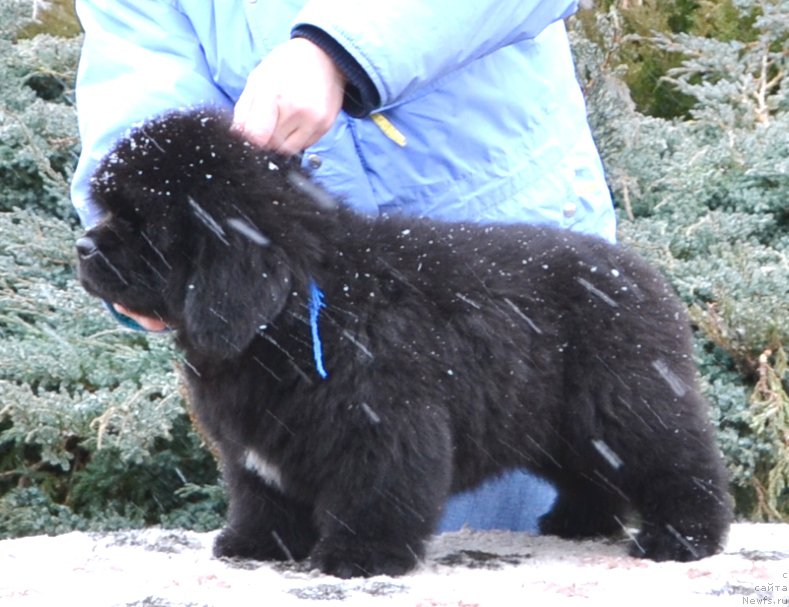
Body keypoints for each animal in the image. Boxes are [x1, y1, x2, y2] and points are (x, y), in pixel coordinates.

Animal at [77, 109, 728, 580]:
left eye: (143, 224)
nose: (84, 247)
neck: (299, 305)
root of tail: (640, 272)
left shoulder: (383, 424)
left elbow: (375, 493)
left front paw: (359, 557)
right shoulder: (255, 444)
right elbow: (262, 496)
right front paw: (255, 544)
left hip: (628, 402)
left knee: (681, 464)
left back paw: (682, 538)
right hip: (555, 425)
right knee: (593, 474)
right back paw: (576, 522)